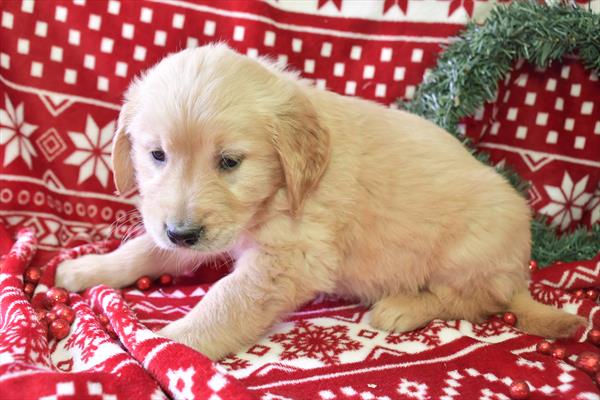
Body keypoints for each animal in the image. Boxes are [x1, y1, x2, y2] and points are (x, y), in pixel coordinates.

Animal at [55, 43, 580, 360]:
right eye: (157, 155)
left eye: (229, 162)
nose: (182, 232)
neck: (281, 189)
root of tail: (519, 268)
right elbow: (144, 248)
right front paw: (87, 269)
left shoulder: (289, 261)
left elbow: (224, 302)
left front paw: (170, 346)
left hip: (473, 244)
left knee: (475, 299)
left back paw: (403, 307)